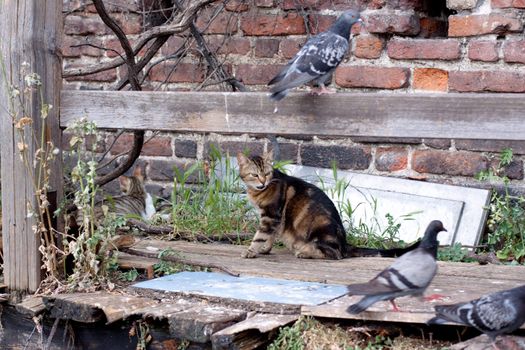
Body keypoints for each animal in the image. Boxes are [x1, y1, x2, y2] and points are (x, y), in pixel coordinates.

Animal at [235, 151, 416, 260]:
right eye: (254, 175)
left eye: (266, 173)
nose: (263, 182)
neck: (258, 191)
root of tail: (345, 243)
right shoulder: (274, 218)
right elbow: (270, 236)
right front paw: (264, 249)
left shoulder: (271, 215)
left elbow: (259, 236)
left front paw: (251, 251)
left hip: (321, 227)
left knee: (335, 254)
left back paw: (304, 252)